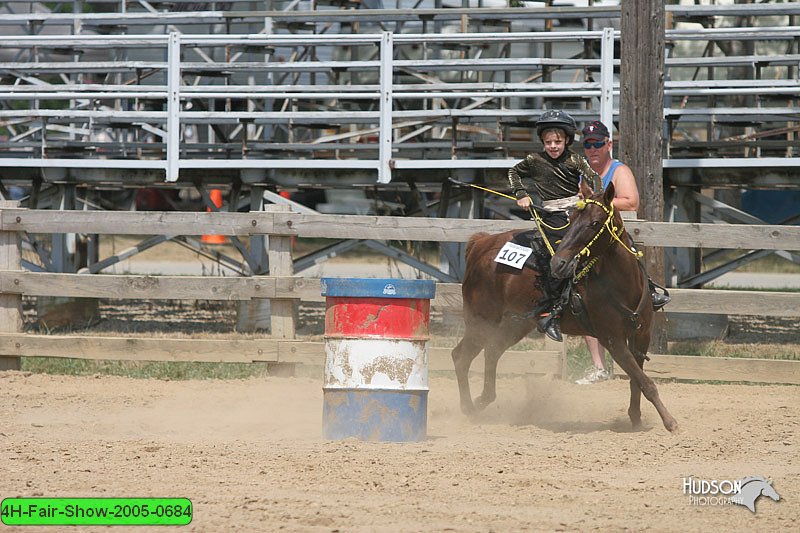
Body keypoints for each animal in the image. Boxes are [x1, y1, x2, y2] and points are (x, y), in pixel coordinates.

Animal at [454, 181, 680, 430]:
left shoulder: (641, 336)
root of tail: (481, 243)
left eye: (594, 223)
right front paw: (670, 422)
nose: (558, 263)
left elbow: (636, 380)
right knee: (461, 356)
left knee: (492, 351)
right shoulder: (612, 340)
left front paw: (636, 419)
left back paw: (482, 400)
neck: (623, 285)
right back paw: (468, 408)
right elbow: (644, 381)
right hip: (480, 322)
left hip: (514, 325)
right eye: (571, 221)